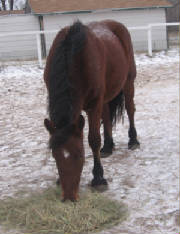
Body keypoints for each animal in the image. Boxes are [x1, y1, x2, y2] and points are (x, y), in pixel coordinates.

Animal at [43, 19, 139, 201]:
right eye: (55, 155)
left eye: (80, 155)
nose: (69, 197)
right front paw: (59, 179)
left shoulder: (93, 104)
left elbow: (93, 139)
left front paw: (99, 178)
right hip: (106, 95)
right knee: (107, 116)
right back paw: (108, 147)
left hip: (128, 81)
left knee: (130, 109)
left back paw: (133, 141)